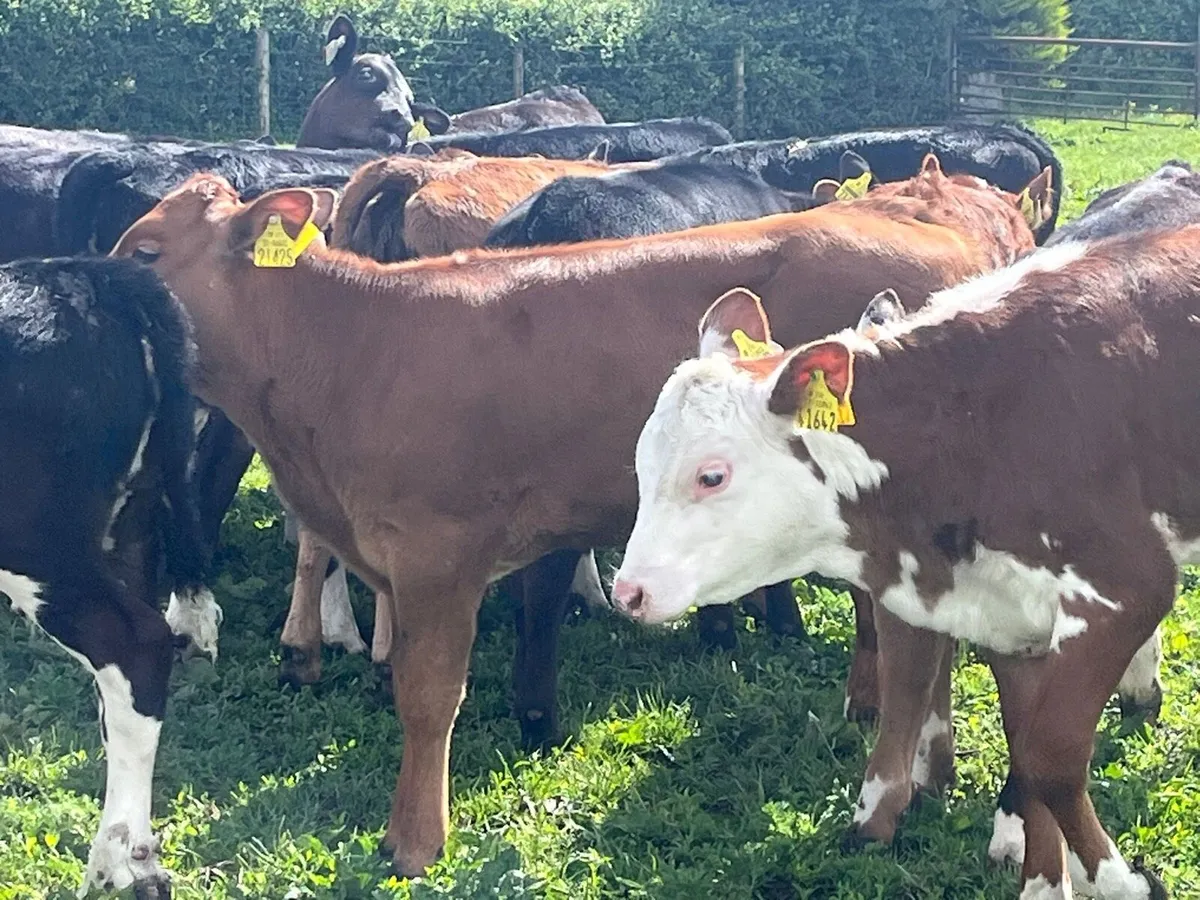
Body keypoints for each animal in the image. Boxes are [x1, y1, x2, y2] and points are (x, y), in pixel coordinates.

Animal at [607, 222, 1200, 898]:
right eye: (642, 464)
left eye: (711, 475)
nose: (628, 592)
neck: (969, 420)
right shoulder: (1008, 611)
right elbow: (1025, 749)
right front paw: (1045, 881)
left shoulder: (1124, 590)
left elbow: (1050, 757)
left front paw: (1123, 882)